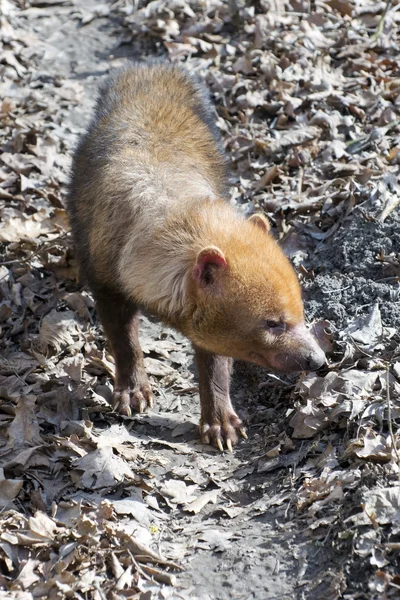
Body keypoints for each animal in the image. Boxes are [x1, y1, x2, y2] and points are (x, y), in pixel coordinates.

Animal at [68, 63, 324, 452]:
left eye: (300, 311)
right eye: (272, 322)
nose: (320, 359)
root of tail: (148, 68)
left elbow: (214, 362)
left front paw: (222, 426)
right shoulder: (104, 274)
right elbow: (123, 337)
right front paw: (132, 394)